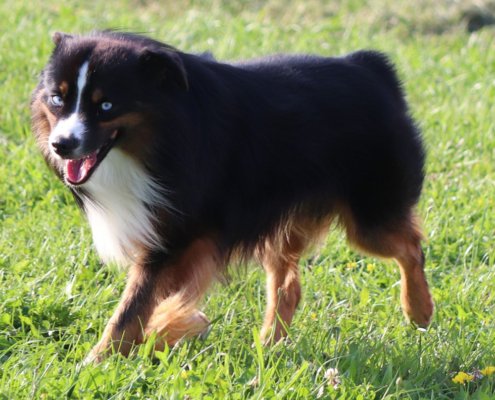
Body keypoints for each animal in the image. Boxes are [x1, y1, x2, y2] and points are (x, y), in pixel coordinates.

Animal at [31, 31, 434, 362]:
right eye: (58, 99)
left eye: (106, 106)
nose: (62, 145)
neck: (162, 131)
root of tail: (370, 67)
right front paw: (167, 330)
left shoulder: (177, 237)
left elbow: (132, 308)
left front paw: (99, 360)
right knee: (288, 286)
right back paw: (270, 345)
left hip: (370, 213)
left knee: (410, 248)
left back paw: (419, 309)